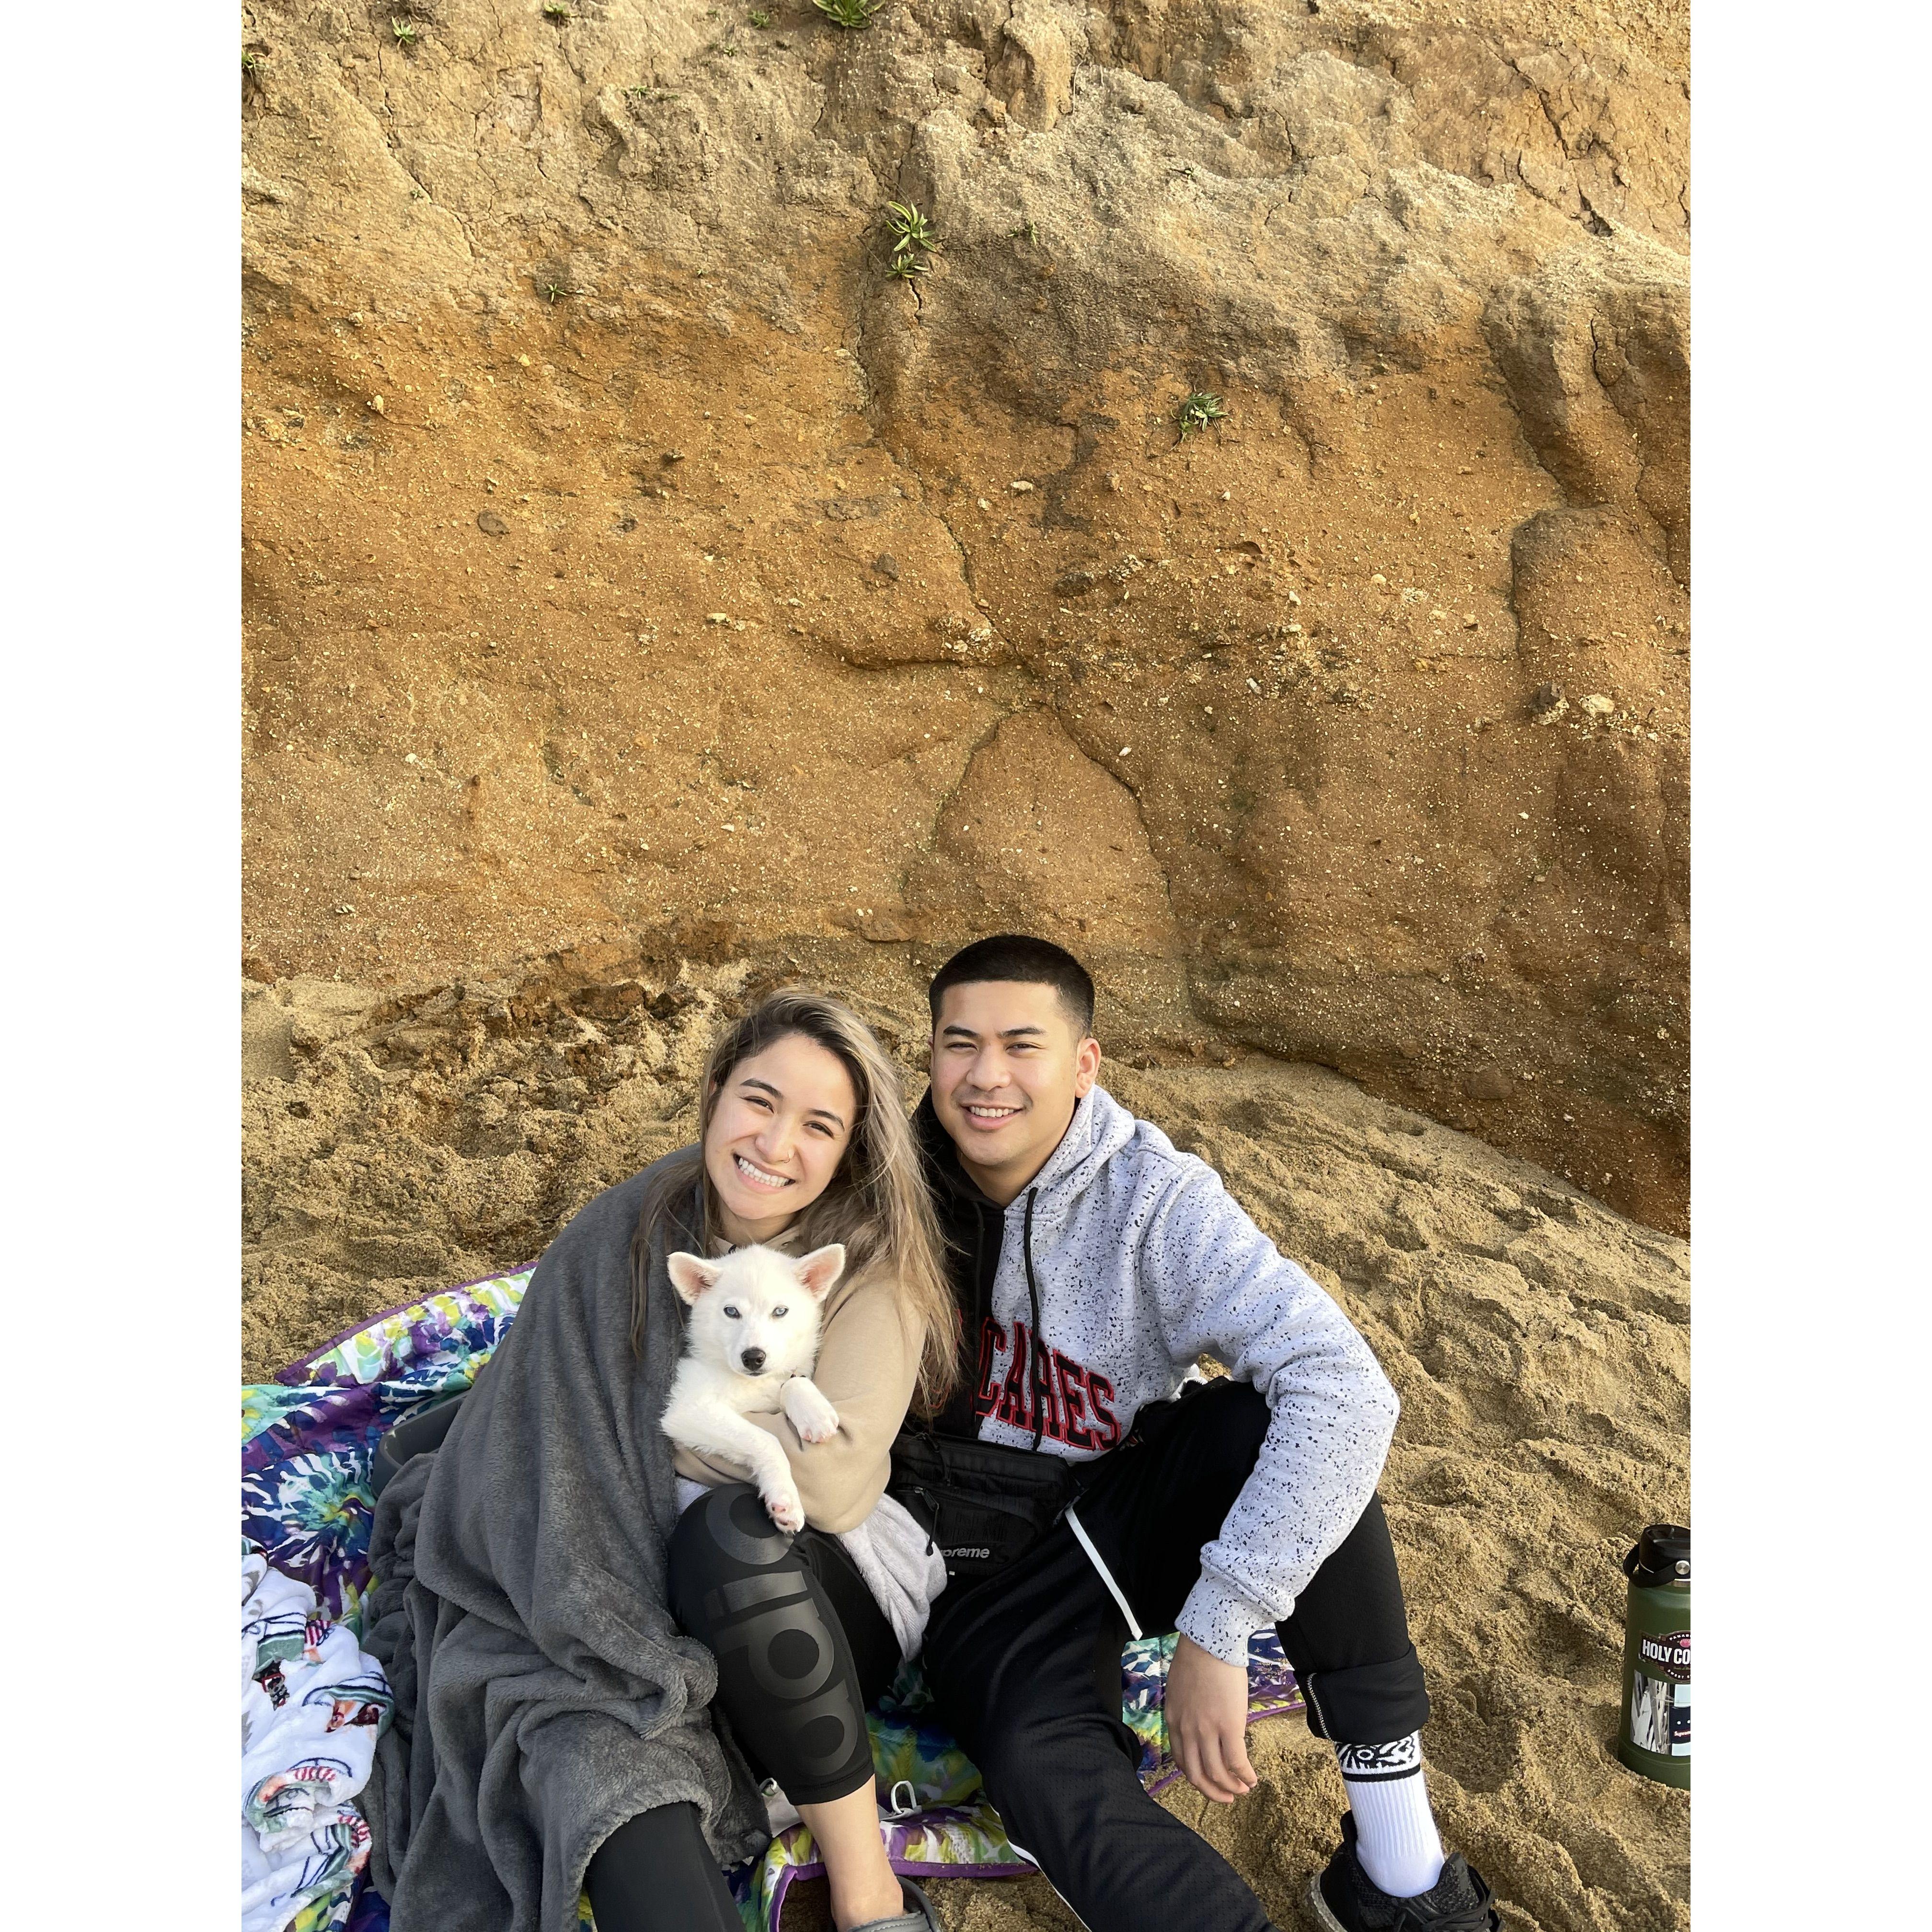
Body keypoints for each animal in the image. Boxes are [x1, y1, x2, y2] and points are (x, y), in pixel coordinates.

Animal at [660, 1242, 846, 1533]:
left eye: (780, 1311)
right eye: (731, 1312)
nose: (753, 1358)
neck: (751, 1382)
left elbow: (792, 1380)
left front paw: (814, 1413)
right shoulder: (689, 1408)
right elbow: (766, 1440)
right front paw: (784, 1498)